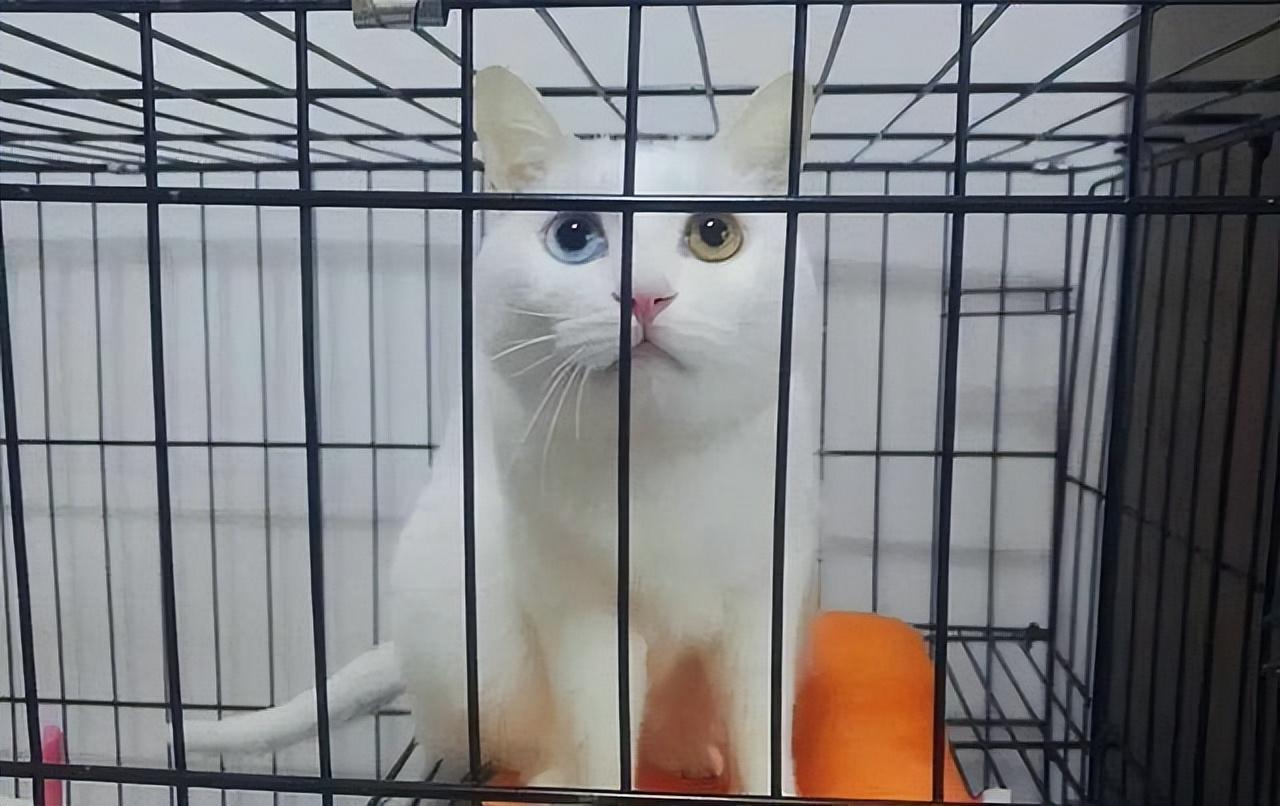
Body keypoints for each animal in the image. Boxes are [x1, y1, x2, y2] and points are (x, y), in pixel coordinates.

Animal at [181, 66, 821, 797]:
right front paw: (598, 784)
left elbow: (761, 726)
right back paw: (551, 775)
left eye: (715, 234)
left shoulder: (766, 599)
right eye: (574, 236)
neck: (660, 459)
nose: (645, 295)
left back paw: (686, 752)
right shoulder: (581, 612)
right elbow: (603, 735)